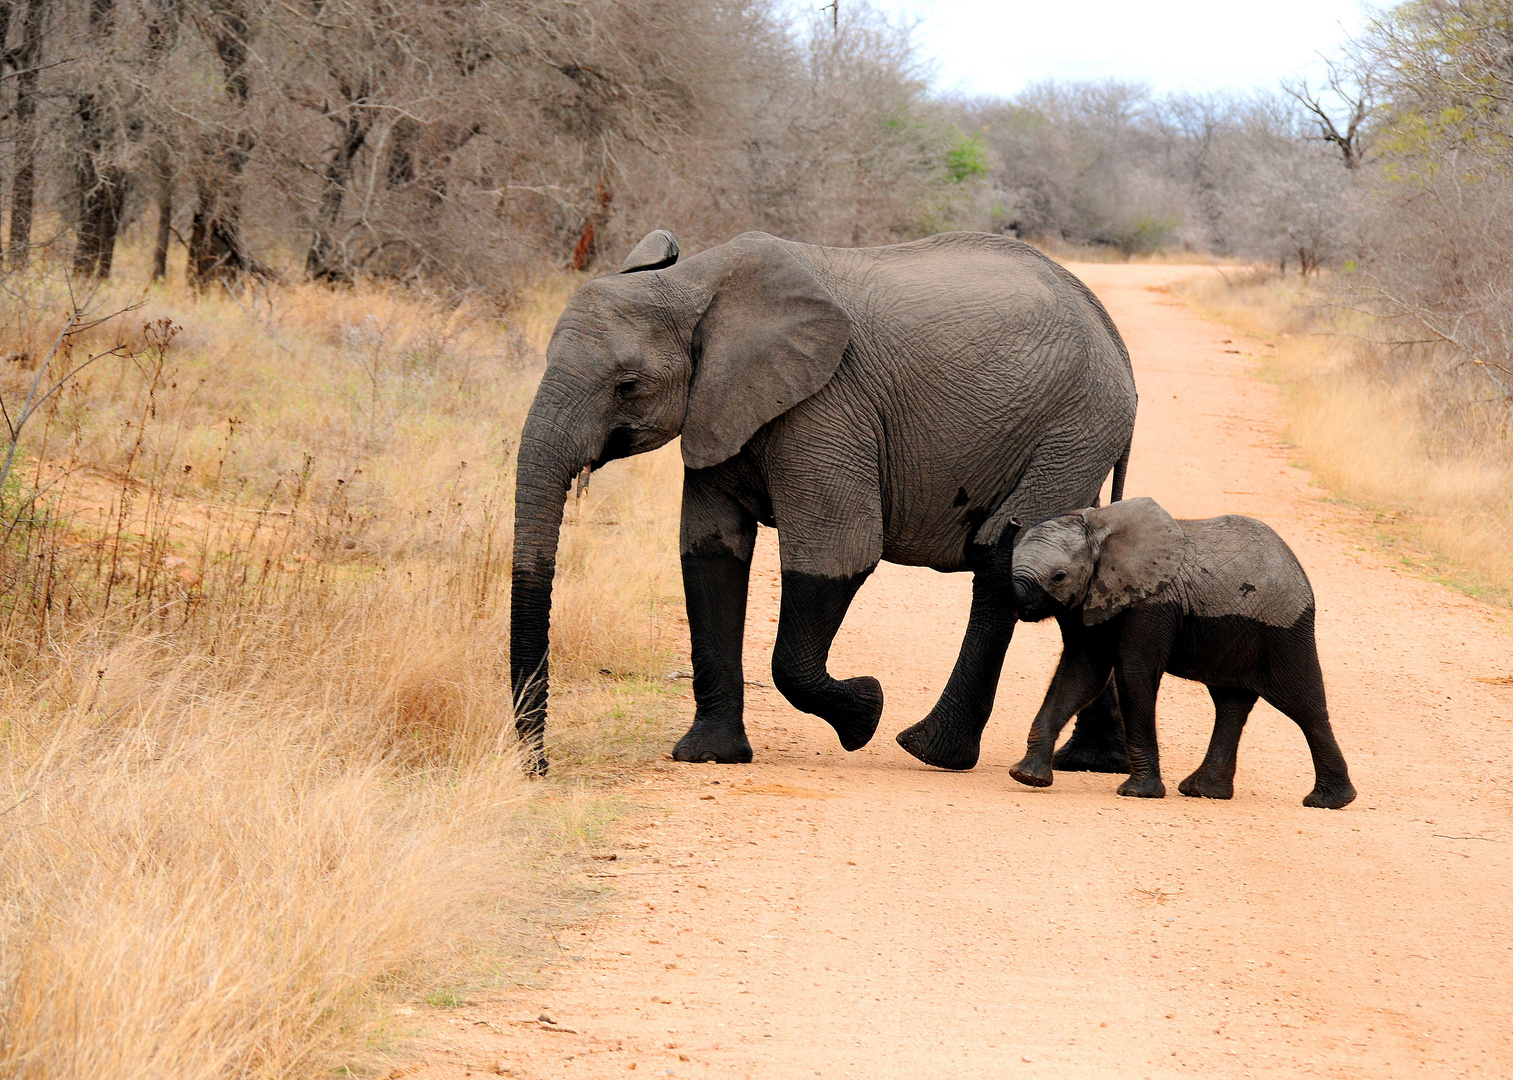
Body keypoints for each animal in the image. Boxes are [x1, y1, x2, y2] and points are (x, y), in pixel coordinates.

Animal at [508, 231, 1137, 774]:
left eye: (628, 385)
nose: (539, 768)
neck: (697, 284)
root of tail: (1112, 333)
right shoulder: (718, 407)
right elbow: (710, 554)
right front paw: (709, 756)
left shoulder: (826, 406)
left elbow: (839, 554)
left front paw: (865, 710)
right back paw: (1093, 761)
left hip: (1071, 428)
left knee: (1002, 561)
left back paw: (929, 750)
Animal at [1004, 493, 1361, 804]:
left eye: (1059, 576)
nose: (1014, 519)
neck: (1099, 530)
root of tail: (1297, 567)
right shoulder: (1094, 601)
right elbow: (1080, 675)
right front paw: (1027, 777)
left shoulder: (1151, 605)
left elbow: (1133, 676)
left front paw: (1138, 793)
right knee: (1231, 704)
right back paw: (1203, 791)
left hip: (1285, 630)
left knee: (1303, 704)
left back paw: (1329, 801)